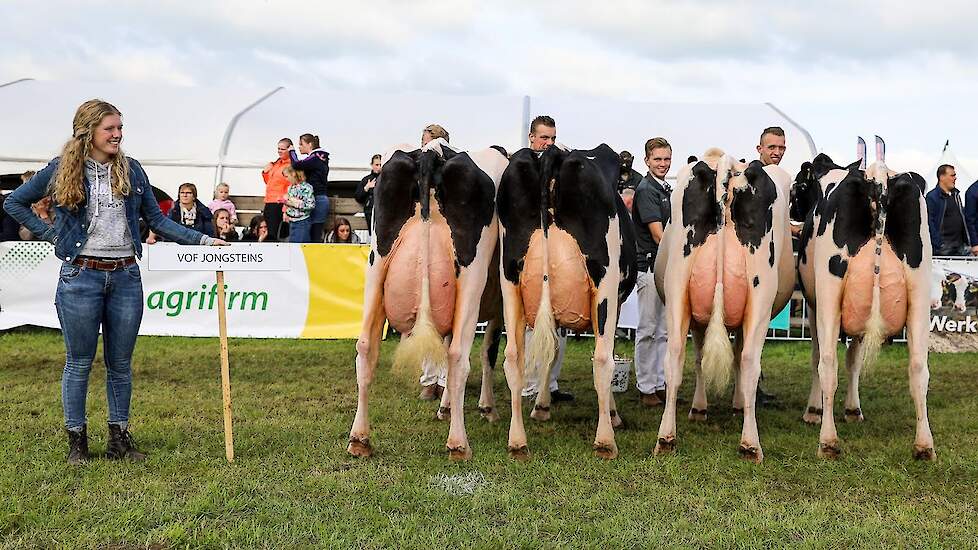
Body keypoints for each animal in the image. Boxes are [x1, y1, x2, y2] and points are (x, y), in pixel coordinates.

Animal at [346, 139, 508, 462]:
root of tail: (432, 151)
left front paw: (445, 407)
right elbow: (488, 352)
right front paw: (487, 408)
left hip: (376, 263)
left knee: (366, 347)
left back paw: (359, 439)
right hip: (471, 275)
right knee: (458, 355)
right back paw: (458, 443)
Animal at [496, 143, 632, 462]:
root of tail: (553, 152)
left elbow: (553, 351)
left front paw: (542, 406)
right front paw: (612, 413)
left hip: (509, 279)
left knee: (513, 357)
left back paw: (517, 442)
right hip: (605, 282)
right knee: (602, 358)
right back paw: (605, 441)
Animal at [788, 151, 936, 462]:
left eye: (798, 186)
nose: (793, 211)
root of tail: (877, 176)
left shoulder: (815, 305)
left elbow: (820, 357)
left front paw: (814, 410)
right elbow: (854, 360)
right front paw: (853, 409)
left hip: (830, 292)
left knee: (827, 363)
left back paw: (828, 441)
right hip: (919, 292)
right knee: (919, 368)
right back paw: (924, 445)